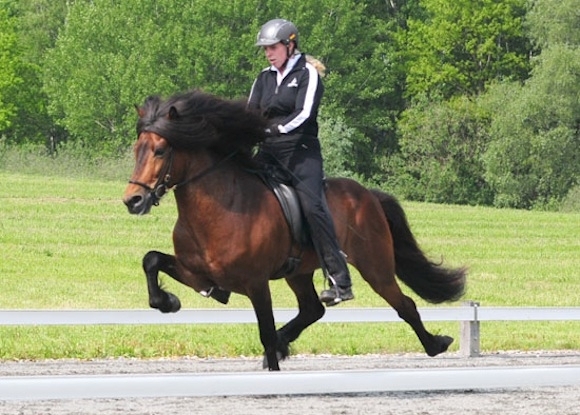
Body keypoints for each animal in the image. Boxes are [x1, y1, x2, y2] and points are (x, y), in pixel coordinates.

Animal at [122, 90, 466, 370]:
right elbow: (151, 260)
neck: (220, 207)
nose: (133, 200)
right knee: (312, 309)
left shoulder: (256, 283)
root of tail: (368, 194)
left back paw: (436, 344)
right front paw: (168, 302)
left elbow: (264, 331)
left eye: (161, 151)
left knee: (404, 305)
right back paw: (285, 342)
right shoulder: (197, 273)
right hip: (298, 272)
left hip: (375, 267)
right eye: (137, 149)